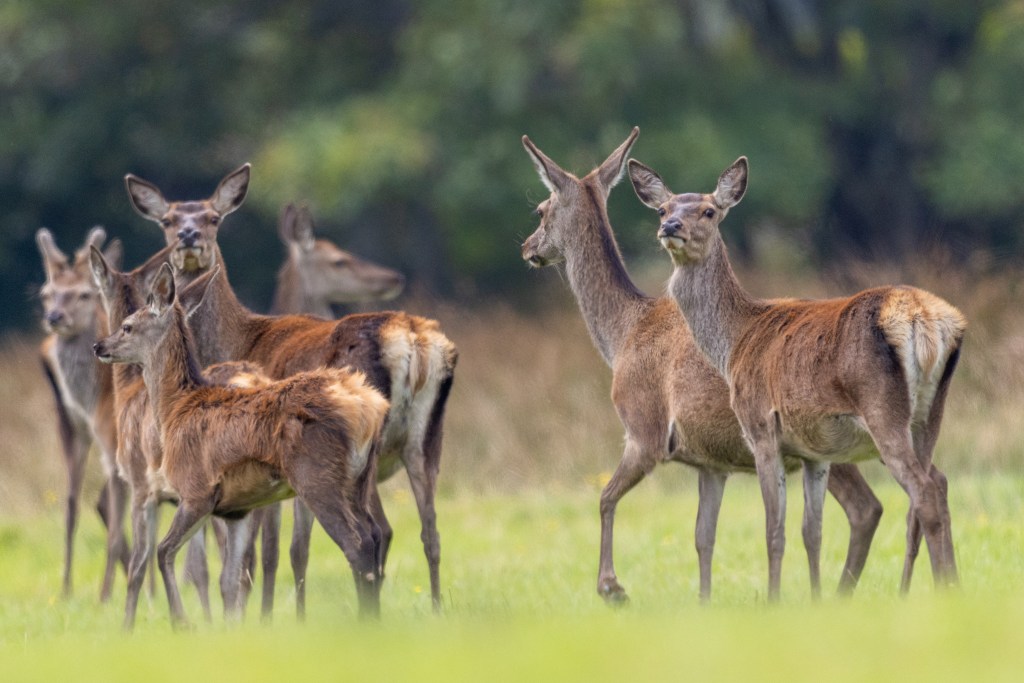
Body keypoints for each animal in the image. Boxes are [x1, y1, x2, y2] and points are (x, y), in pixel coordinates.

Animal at [35, 226, 129, 601]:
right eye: (47, 294)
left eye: (85, 294)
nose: (55, 318)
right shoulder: (81, 430)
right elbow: (72, 505)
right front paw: (65, 590)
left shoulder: (115, 445)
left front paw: (105, 595)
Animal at [93, 263, 390, 627]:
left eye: (127, 326)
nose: (99, 346)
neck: (175, 409)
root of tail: (370, 406)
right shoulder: (238, 510)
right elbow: (231, 576)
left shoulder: (195, 491)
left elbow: (163, 553)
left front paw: (182, 623)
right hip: (360, 479)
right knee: (374, 535)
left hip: (318, 478)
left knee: (356, 544)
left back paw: (364, 623)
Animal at [123, 164, 458, 615]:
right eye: (168, 220)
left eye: (213, 217)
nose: (189, 237)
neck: (239, 338)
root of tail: (413, 343)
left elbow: (266, 552)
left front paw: (261, 616)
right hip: (424, 442)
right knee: (430, 533)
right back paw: (436, 610)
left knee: (379, 531)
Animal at [521, 127, 884, 603]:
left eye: (541, 210)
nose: (527, 247)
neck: (623, 336)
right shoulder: (710, 461)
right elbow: (703, 537)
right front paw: (704, 601)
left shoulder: (645, 430)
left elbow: (604, 497)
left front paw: (612, 588)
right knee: (875, 503)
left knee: (867, 506)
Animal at [629, 155, 965, 599]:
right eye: (663, 209)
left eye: (709, 211)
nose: (670, 227)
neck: (734, 344)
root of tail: (928, 322)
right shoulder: (813, 451)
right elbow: (813, 530)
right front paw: (816, 598)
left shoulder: (759, 426)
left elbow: (775, 528)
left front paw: (774, 600)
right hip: (931, 414)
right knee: (934, 487)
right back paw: (944, 585)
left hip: (882, 409)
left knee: (923, 490)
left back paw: (939, 589)